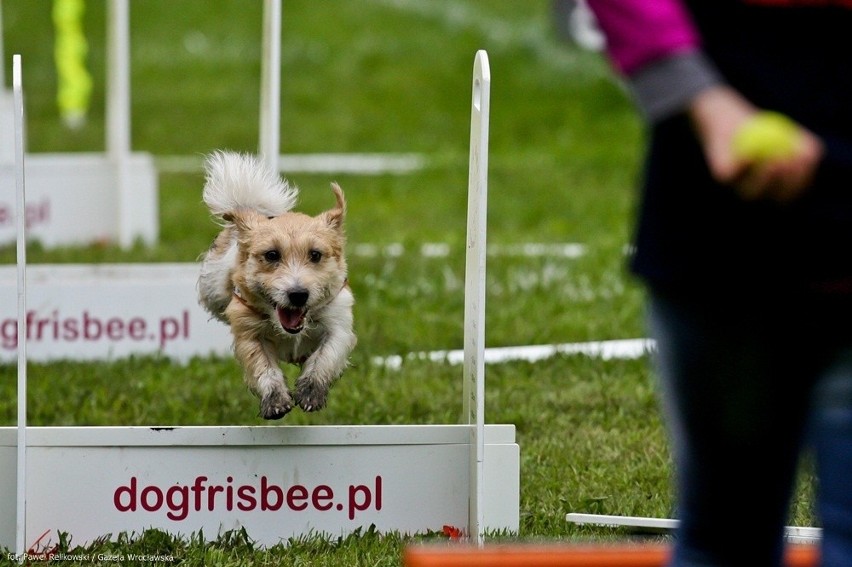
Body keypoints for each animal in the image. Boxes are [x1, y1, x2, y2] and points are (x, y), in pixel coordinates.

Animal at [198, 153, 354, 420]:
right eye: (271, 255)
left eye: (315, 255)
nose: (298, 294)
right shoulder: (248, 331)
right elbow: (263, 367)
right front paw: (276, 401)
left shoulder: (338, 322)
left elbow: (325, 356)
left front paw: (310, 392)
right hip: (213, 287)